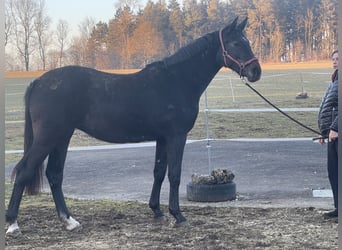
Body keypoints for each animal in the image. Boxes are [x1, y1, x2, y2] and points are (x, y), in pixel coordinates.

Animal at [5, 16, 260, 235]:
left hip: (62, 137)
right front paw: (178, 216)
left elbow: (158, 172)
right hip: (48, 138)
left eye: (247, 41)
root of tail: (38, 82)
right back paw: (13, 224)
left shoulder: (162, 138)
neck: (176, 80)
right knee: (24, 171)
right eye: (236, 43)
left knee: (55, 175)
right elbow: (174, 175)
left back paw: (69, 221)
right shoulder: (176, 136)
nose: (255, 71)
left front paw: (157, 212)